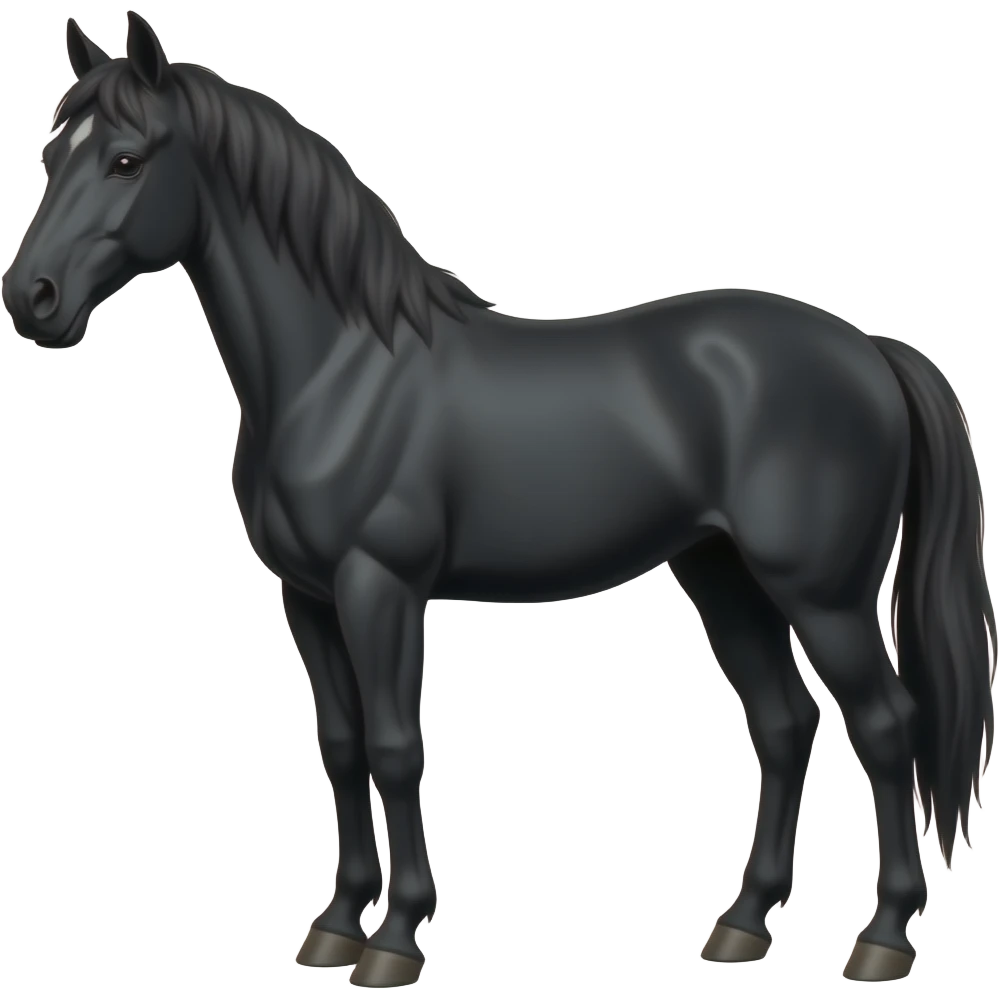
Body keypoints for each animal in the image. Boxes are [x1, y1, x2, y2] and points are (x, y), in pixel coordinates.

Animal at [3, 13, 995, 987]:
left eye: (126, 159)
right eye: (52, 157)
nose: (31, 299)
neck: (340, 370)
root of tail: (869, 350)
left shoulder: (381, 586)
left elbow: (396, 749)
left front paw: (395, 939)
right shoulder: (309, 596)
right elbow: (343, 748)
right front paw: (334, 925)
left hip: (822, 595)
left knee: (885, 724)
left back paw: (882, 937)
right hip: (722, 576)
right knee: (786, 723)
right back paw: (741, 926)